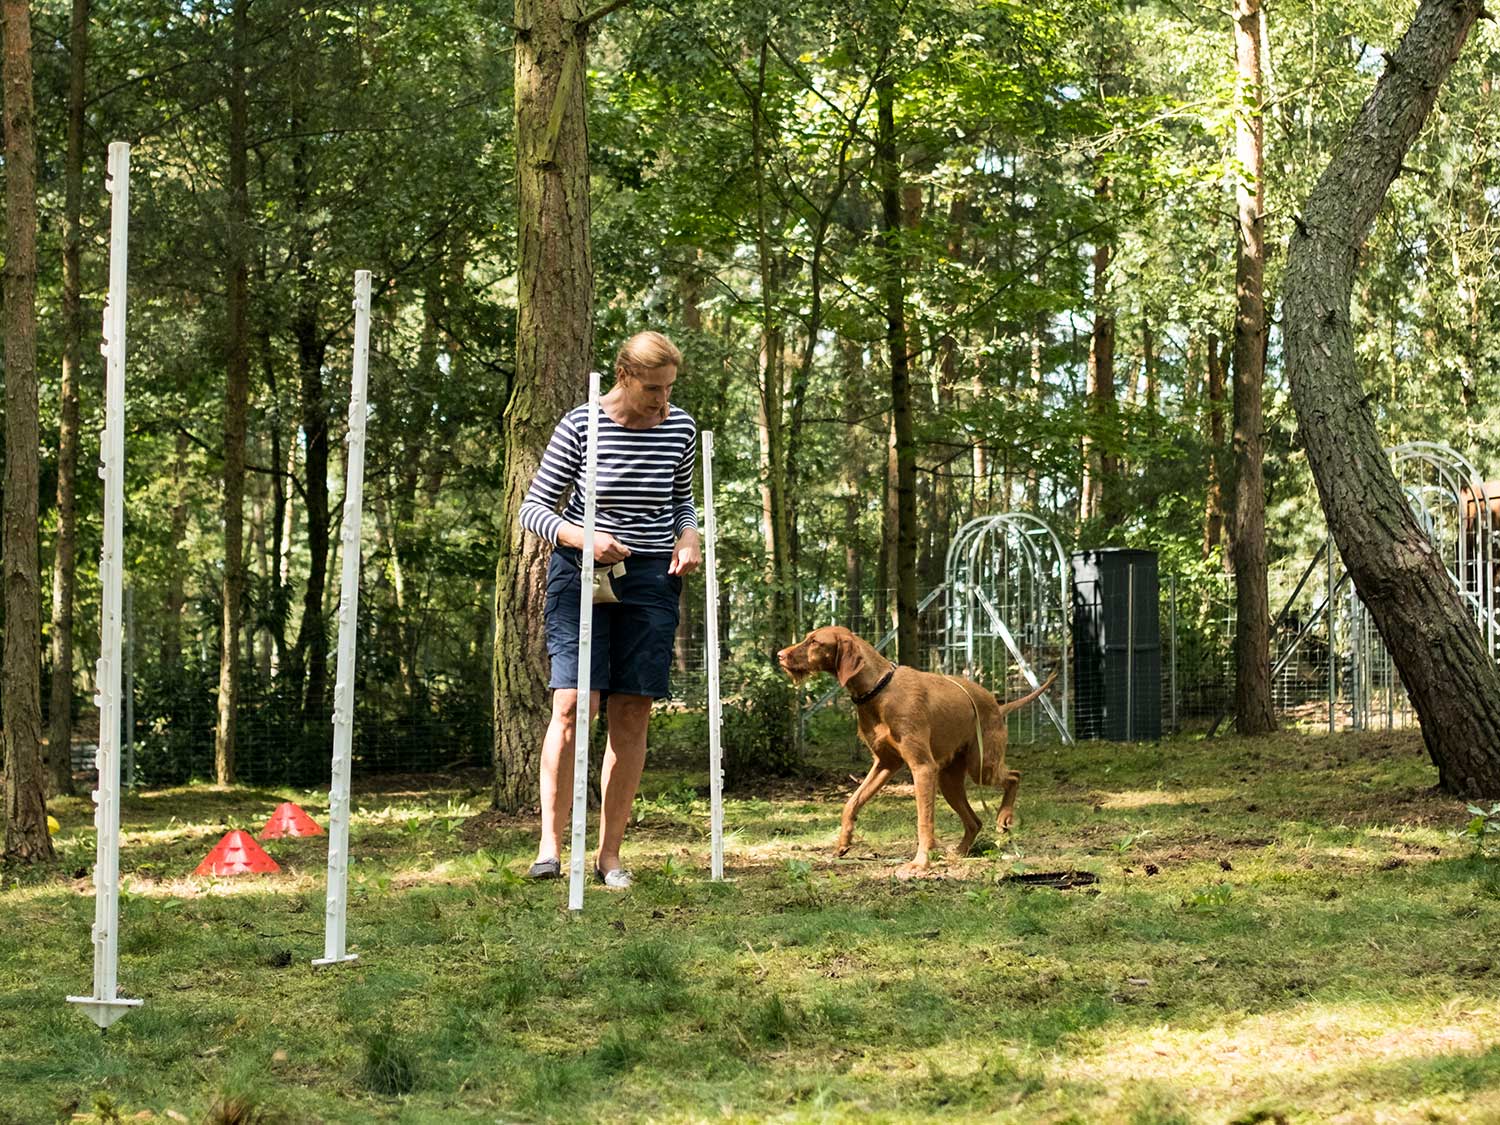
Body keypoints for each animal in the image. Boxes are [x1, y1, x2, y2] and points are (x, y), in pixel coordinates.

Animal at [774, 627, 1056, 882]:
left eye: (814, 641)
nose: (779, 655)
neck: (878, 690)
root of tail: (998, 706)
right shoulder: (885, 764)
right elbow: (852, 802)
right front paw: (844, 841)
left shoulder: (922, 767)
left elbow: (924, 822)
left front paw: (920, 863)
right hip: (949, 780)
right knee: (975, 821)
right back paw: (960, 851)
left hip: (980, 766)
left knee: (1014, 776)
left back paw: (1003, 818)